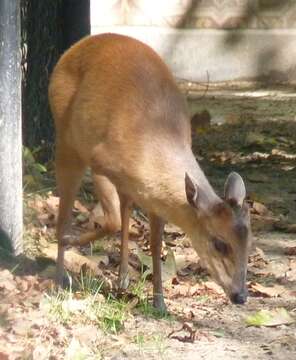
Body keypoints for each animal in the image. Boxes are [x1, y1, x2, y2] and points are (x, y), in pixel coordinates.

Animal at [48, 32, 252, 310]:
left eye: (249, 243)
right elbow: (112, 221)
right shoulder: (99, 157)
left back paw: (122, 280)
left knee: (125, 208)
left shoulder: (158, 198)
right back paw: (61, 274)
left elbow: (156, 243)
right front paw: (70, 244)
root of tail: (72, 49)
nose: (240, 295)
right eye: (220, 243)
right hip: (68, 139)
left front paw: (160, 302)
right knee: (65, 211)